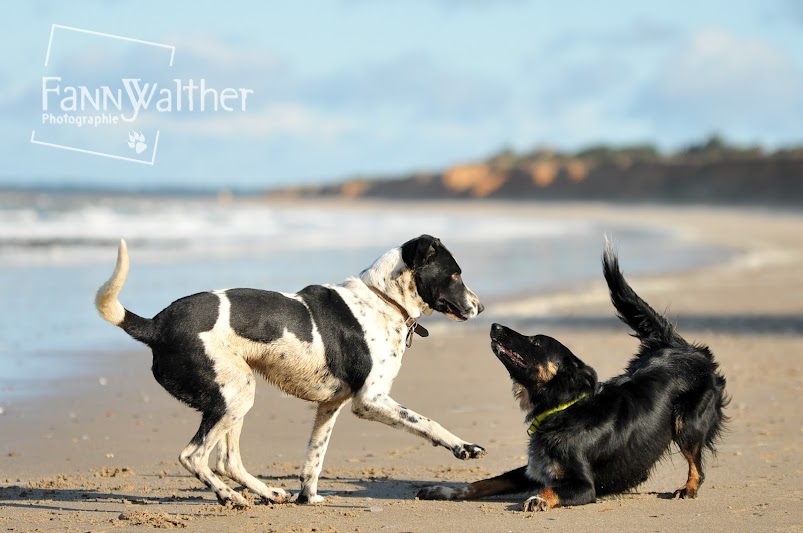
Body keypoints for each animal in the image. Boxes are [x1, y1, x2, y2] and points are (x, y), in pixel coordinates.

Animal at [94, 235, 484, 504]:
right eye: (455, 274)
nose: (480, 307)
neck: (381, 300)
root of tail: (156, 325)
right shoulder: (370, 400)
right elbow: (427, 421)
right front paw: (462, 446)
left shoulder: (330, 405)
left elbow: (314, 458)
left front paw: (308, 498)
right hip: (235, 395)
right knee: (193, 456)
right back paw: (229, 496)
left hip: (235, 398)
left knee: (227, 460)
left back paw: (268, 493)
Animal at [420, 243, 728, 510]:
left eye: (535, 341)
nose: (494, 325)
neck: (562, 409)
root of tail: (677, 346)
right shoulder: (532, 469)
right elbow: (485, 482)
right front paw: (445, 490)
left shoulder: (583, 485)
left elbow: (551, 488)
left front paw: (539, 499)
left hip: (686, 422)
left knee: (697, 466)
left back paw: (688, 488)